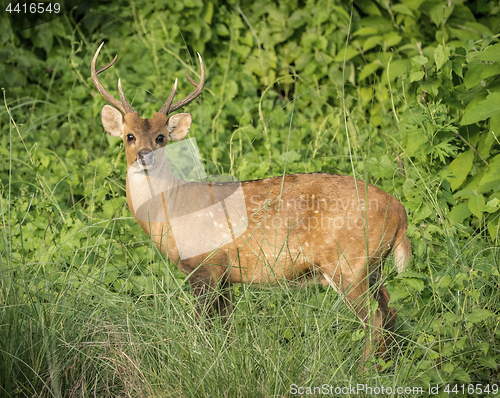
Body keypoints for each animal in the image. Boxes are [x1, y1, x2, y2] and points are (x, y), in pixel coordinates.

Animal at [91, 42, 410, 360]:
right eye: (129, 136)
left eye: (160, 137)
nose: (145, 155)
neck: (171, 208)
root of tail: (399, 209)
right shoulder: (225, 276)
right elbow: (226, 326)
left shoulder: (206, 265)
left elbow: (202, 326)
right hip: (372, 265)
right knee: (390, 309)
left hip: (349, 263)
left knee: (375, 317)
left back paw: (364, 365)